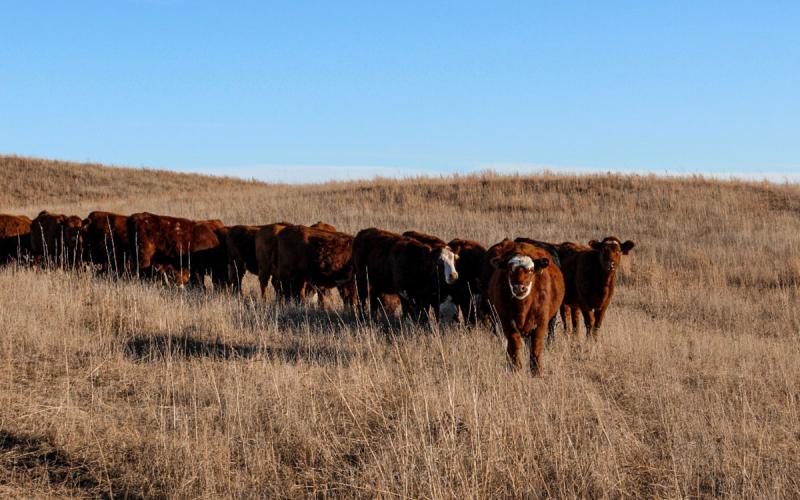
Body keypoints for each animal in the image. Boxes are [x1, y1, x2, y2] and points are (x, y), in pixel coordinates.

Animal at [486, 241, 564, 375]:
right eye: (510, 270)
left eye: (531, 270)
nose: (519, 288)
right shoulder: (506, 321)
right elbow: (514, 344)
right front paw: (516, 368)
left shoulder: (541, 322)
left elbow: (536, 346)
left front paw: (537, 371)